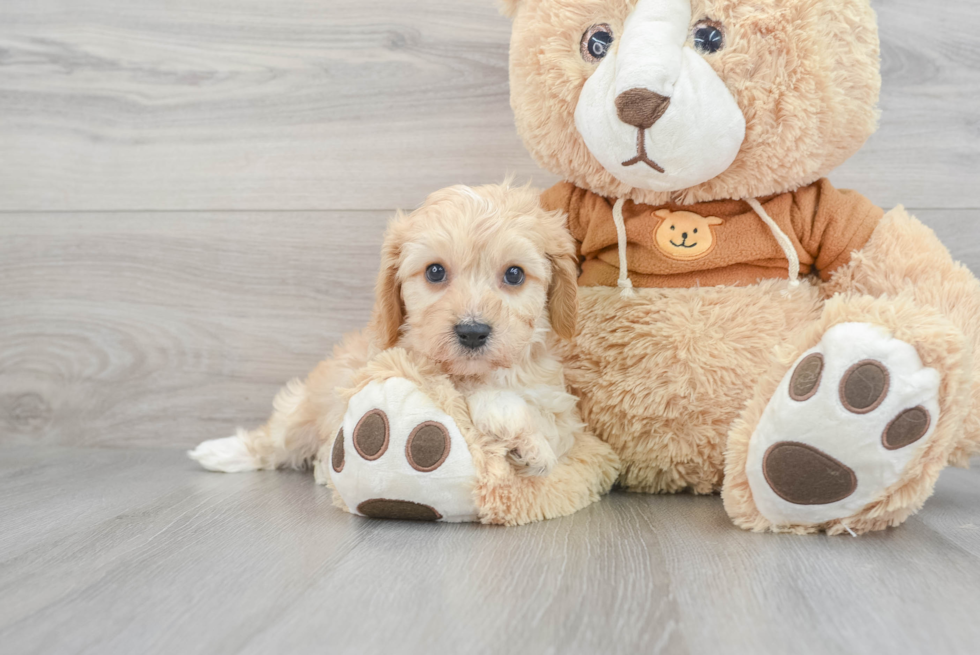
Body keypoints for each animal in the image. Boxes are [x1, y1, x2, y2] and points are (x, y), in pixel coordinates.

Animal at [193, 182, 580, 480]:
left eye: (514, 274)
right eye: (435, 271)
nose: (472, 332)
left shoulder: (561, 409)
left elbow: (549, 426)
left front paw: (530, 448)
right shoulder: (384, 367)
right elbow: (461, 389)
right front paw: (502, 417)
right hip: (306, 406)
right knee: (275, 439)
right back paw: (221, 452)